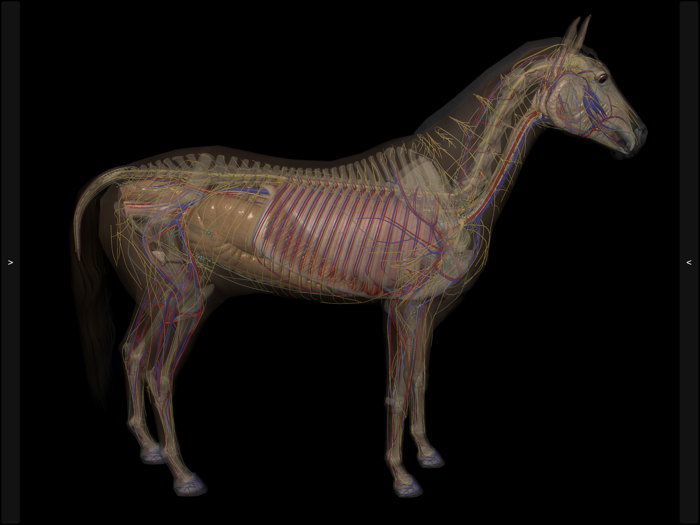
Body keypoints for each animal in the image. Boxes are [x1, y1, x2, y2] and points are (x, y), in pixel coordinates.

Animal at [70, 15, 647, 498]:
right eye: (600, 77)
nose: (638, 135)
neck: (453, 192)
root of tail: (126, 178)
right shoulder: (401, 304)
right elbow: (395, 388)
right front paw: (401, 477)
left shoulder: (426, 308)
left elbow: (418, 379)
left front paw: (427, 455)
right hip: (184, 292)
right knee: (159, 371)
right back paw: (183, 474)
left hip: (161, 291)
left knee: (133, 352)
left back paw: (149, 450)